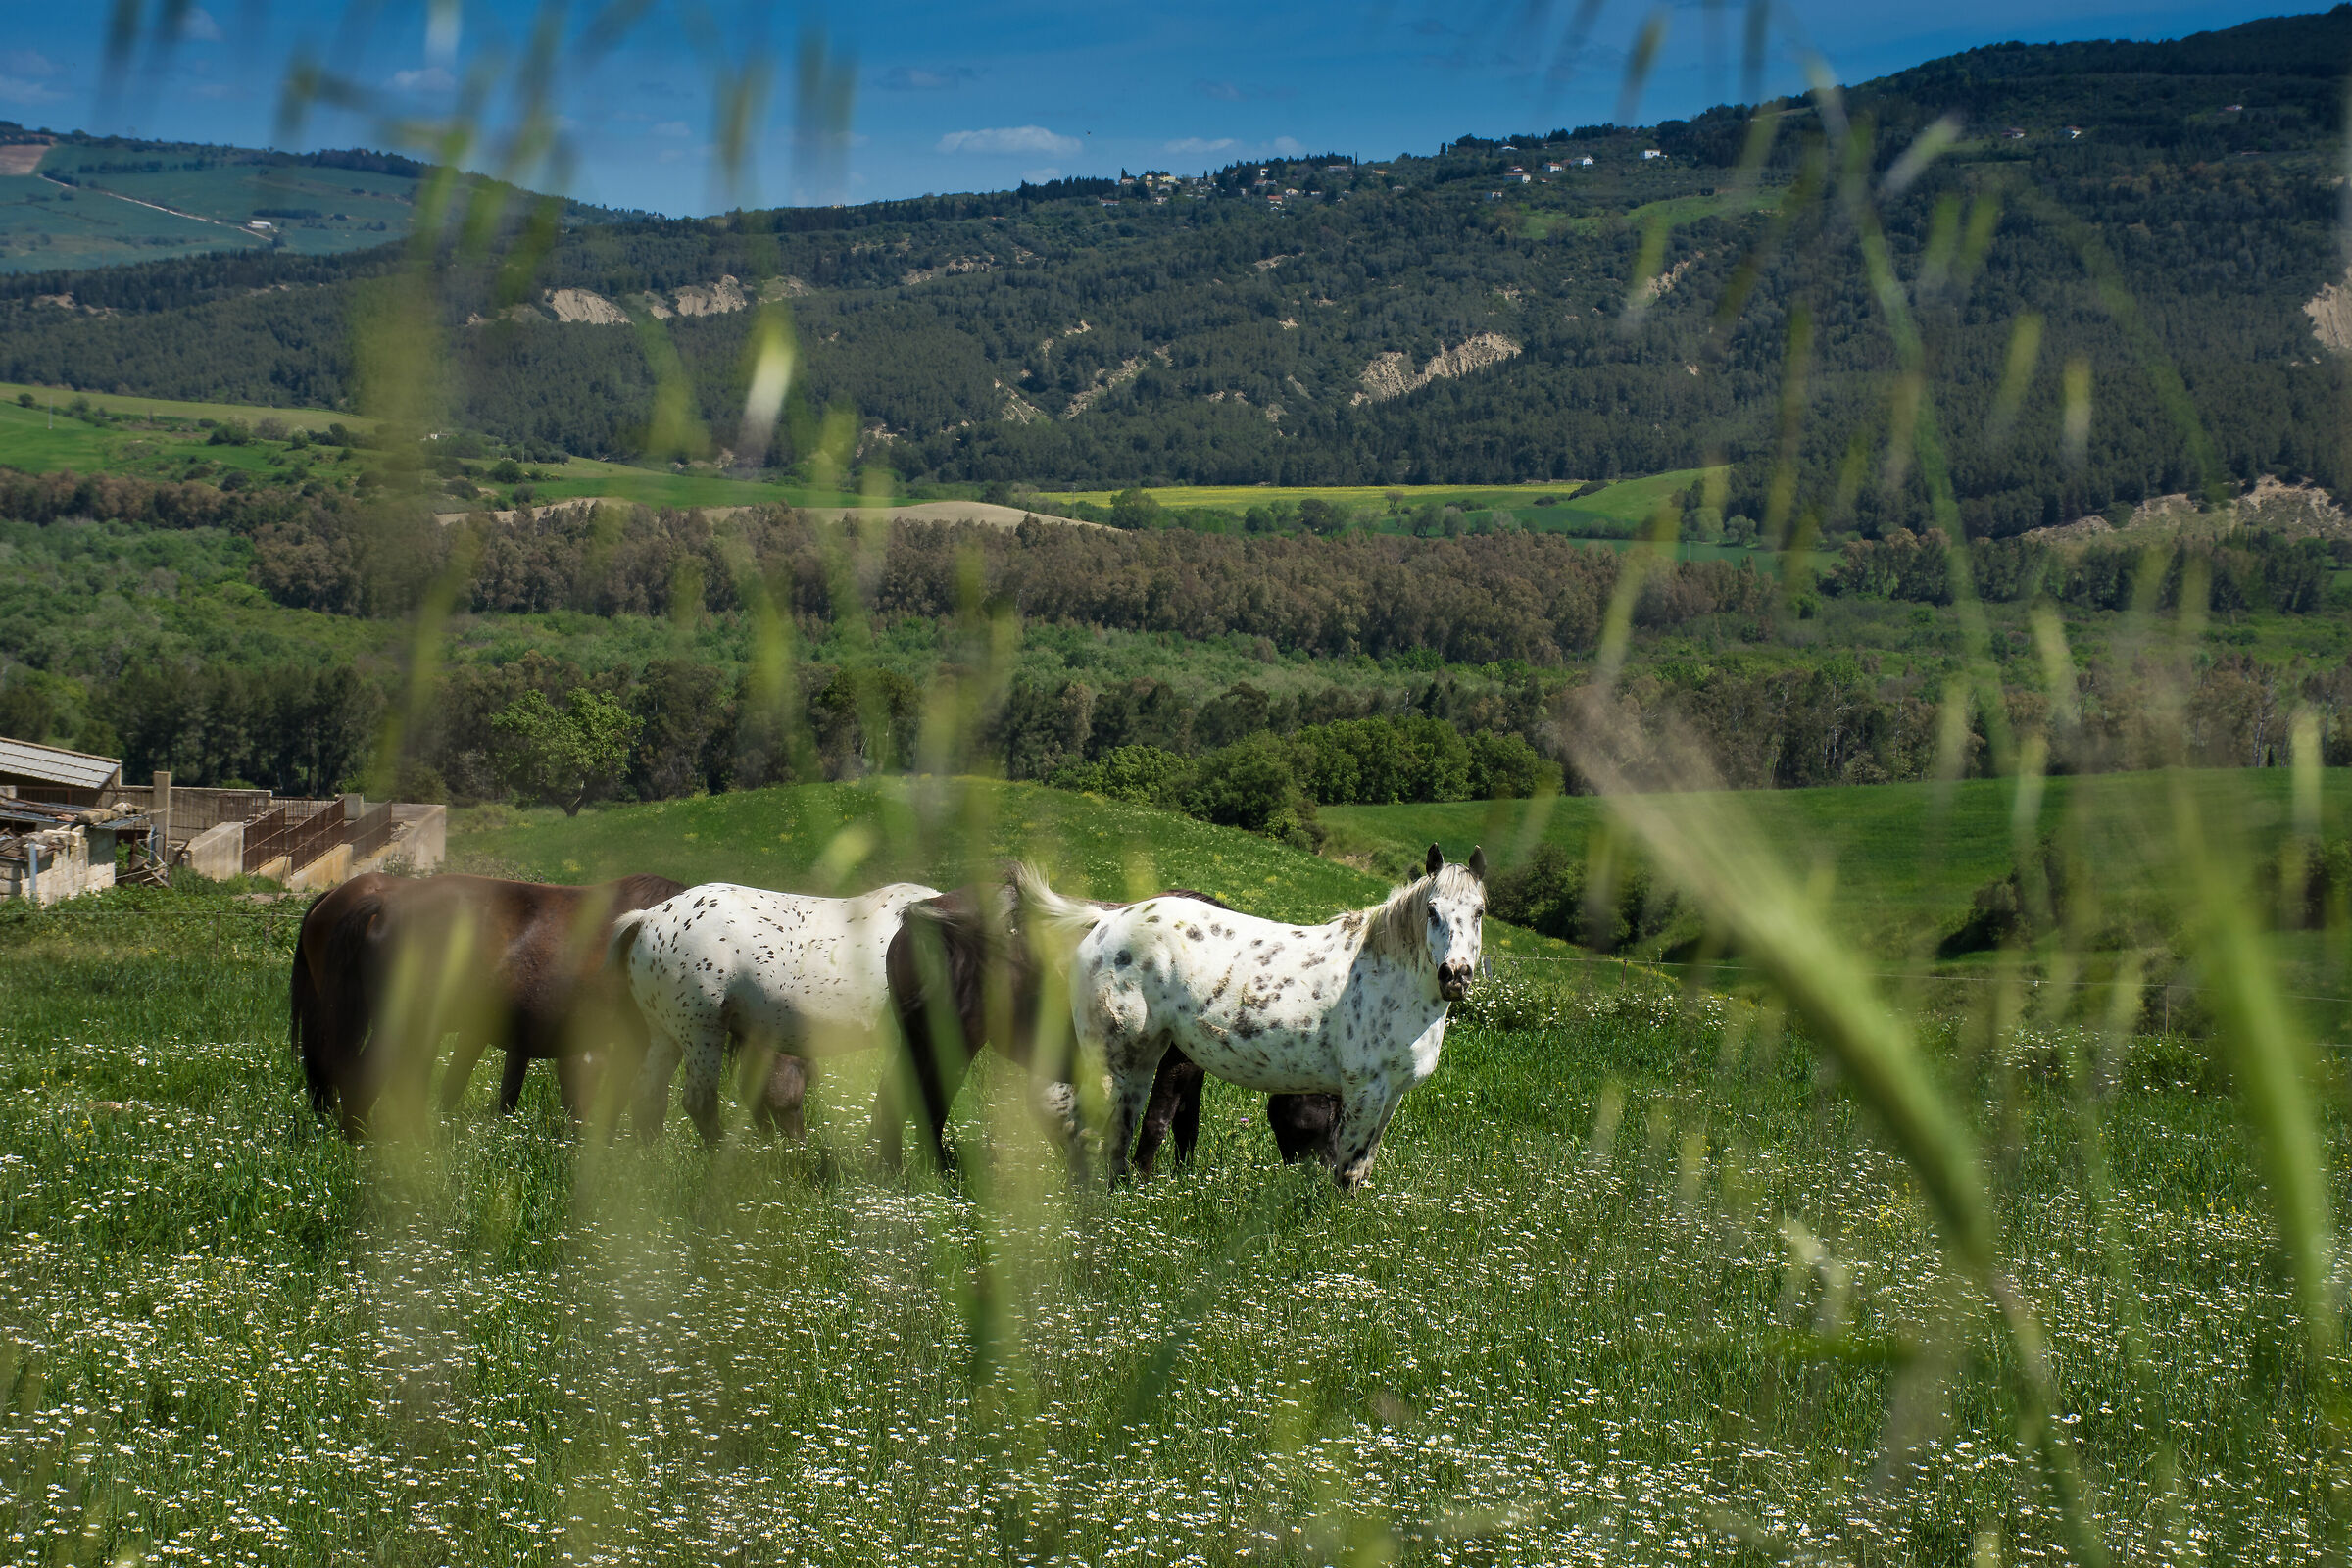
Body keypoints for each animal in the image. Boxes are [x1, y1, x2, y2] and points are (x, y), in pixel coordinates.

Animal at [877, 877, 1341, 1175]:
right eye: (1333, 1109)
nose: (1327, 1179)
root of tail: (918, 918)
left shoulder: (1188, 1069)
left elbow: (1185, 1125)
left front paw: (1183, 1179)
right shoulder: (1174, 1065)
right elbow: (1158, 1122)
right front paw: (1142, 1181)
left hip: (919, 1038)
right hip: (948, 1041)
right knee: (928, 1103)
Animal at [1040, 843, 1485, 1189]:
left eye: (1479, 912)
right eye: (1432, 911)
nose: (1456, 975)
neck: (1387, 976)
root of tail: (1108, 919)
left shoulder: (1391, 1094)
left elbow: (1363, 1165)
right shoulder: (1365, 1089)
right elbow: (1347, 1170)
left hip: (1143, 1057)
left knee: (1121, 1130)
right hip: (1112, 1058)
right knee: (1088, 1130)